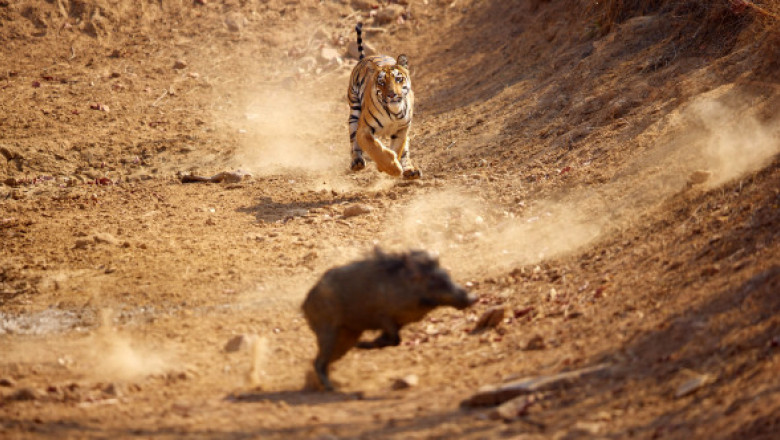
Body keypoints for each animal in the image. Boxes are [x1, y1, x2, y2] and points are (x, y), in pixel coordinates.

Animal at [348, 22, 420, 179]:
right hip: (354, 111)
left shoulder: (402, 128)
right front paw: (391, 168)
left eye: (398, 79)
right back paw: (357, 162)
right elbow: (374, 148)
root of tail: (366, 57)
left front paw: (393, 165)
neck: (394, 112)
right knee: (353, 140)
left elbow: (398, 148)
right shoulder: (363, 130)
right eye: (381, 82)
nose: (392, 94)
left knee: (405, 150)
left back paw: (410, 170)